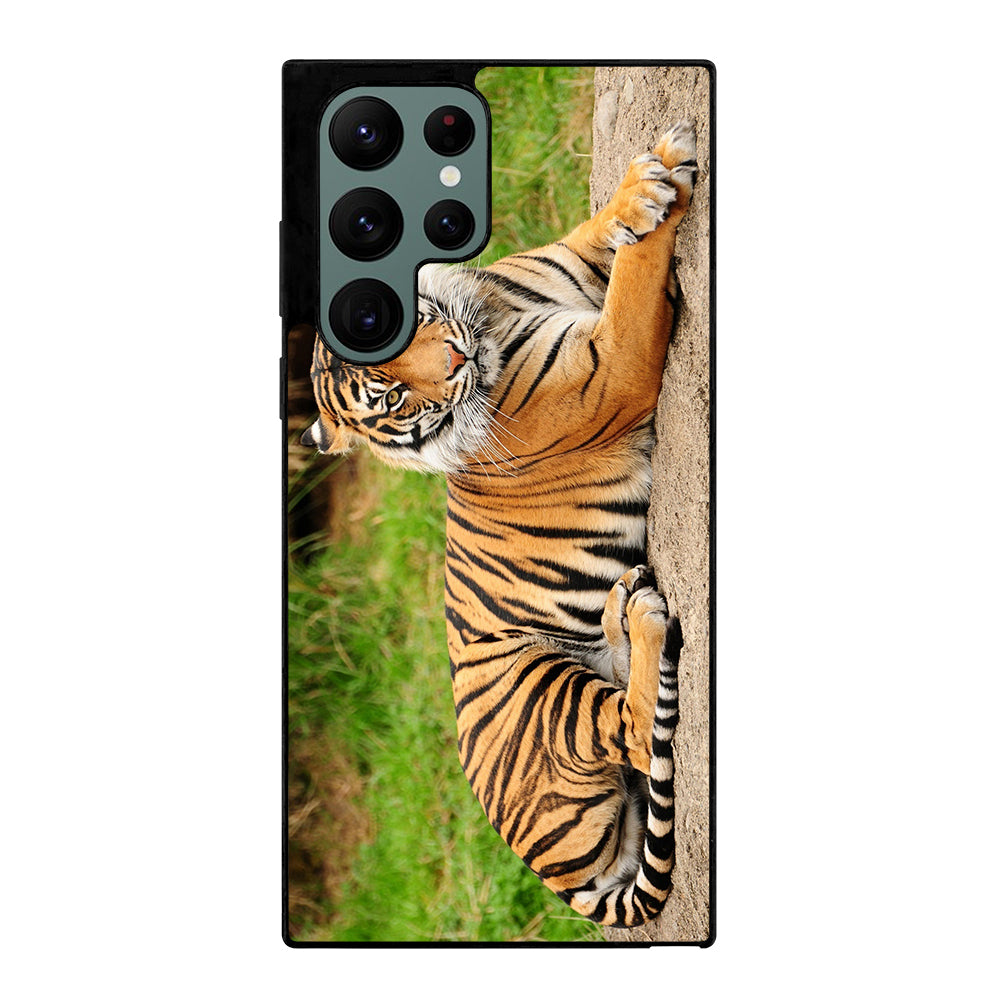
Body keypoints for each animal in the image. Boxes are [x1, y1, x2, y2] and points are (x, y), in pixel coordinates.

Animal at [300, 121, 697, 927]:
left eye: (399, 324)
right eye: (390, 398)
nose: (455, 359)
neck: (488, 313)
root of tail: (560, 881)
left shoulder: (566, 266)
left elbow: (604, 234)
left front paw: (646, 183)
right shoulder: (612, 367)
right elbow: (637, 278)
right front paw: (660, 186)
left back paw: (622, 607)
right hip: (539, 687)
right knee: (636, 729)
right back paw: (642, 617)